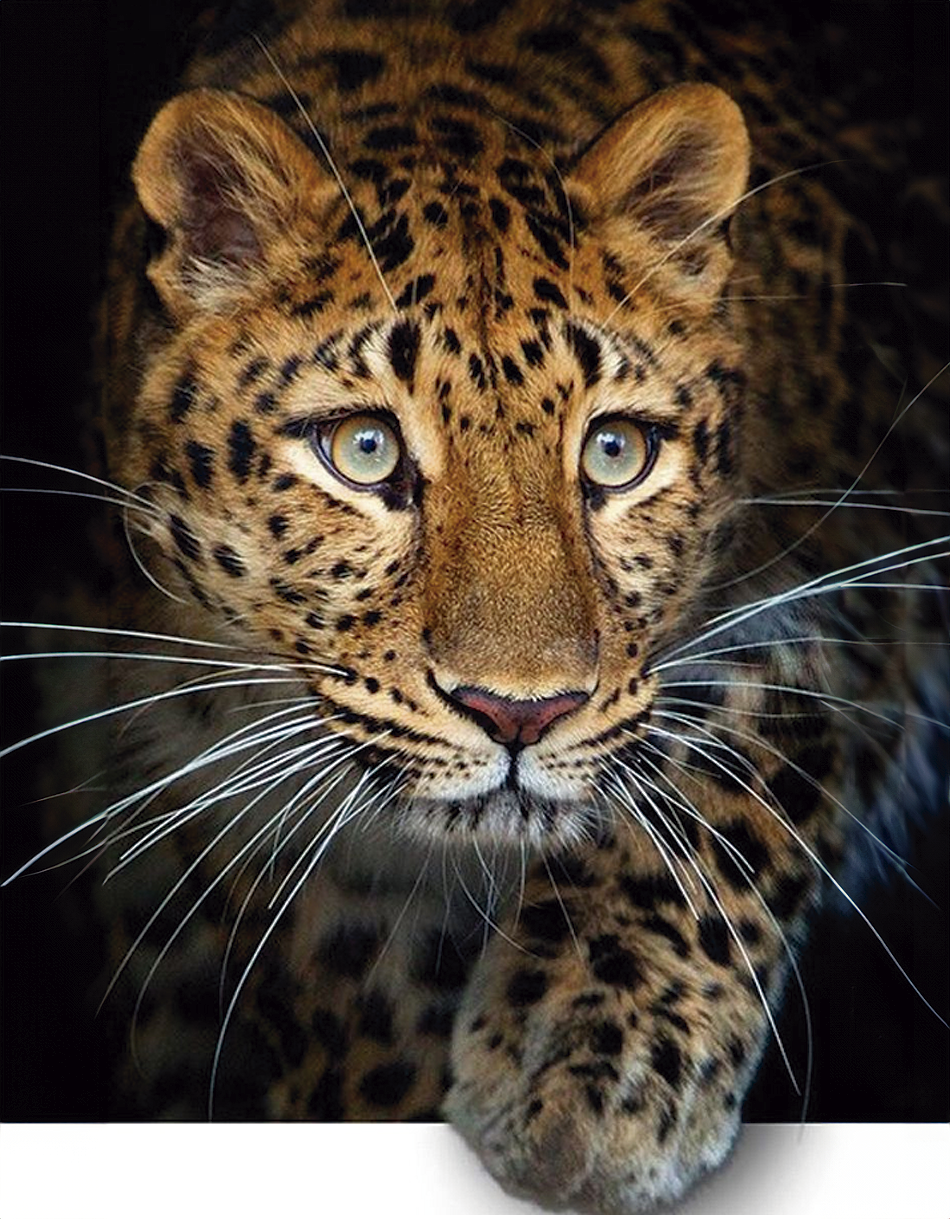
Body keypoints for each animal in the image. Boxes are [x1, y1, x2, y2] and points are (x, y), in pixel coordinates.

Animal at [2, 0, 947, 1213]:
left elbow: (744, 749)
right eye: (362, 450)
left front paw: (590, 1068)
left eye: (614, 451)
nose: (518, 714)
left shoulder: (879, 556)